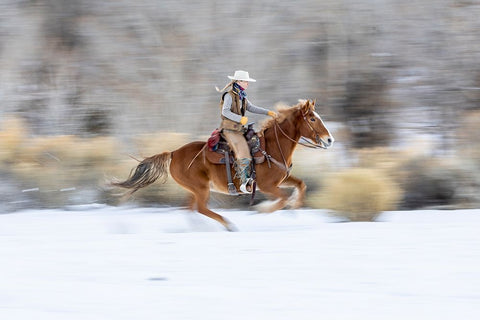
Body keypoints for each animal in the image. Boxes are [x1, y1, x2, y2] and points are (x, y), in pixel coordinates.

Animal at [112, 99, 334, 230]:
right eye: (312, 119)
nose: (329, 139)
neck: (272, 147)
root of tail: (173, 153)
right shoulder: (267, 186)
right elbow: (282, 198)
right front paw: (264, 209)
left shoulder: (282, 179)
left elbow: (301, 185)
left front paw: (295, 206)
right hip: (201, 188)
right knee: (201, 208)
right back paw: (228, 224)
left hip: (194, 189)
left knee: (190, 209)